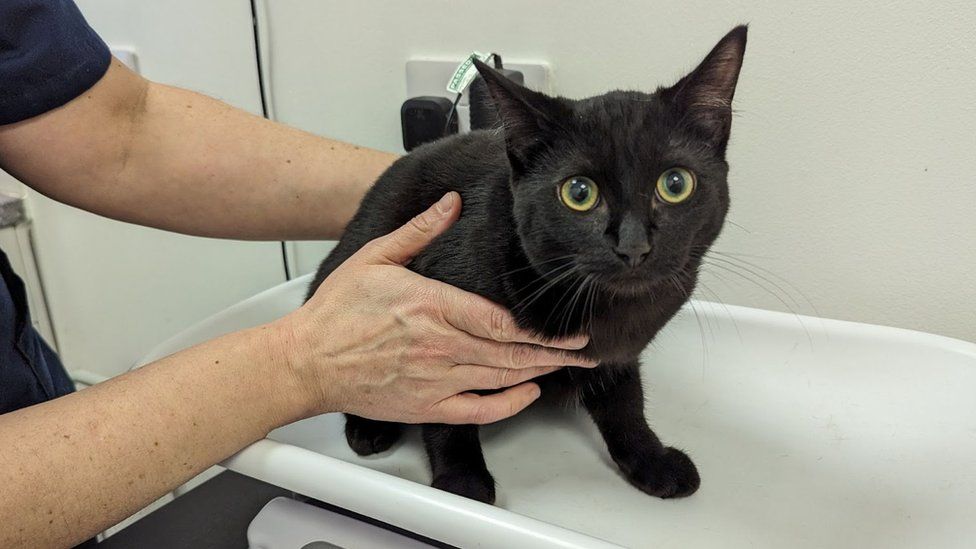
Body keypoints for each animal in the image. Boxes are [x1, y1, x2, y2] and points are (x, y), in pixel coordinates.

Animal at [308, 27, 752, 504]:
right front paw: (462, 483)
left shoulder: (616, 354)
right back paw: (369, 427)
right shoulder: (434, 334)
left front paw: (651, 461)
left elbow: (626, 404)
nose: (633, 245)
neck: (608, 310)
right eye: (579, 193)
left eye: (675, 183)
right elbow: (447, 414)